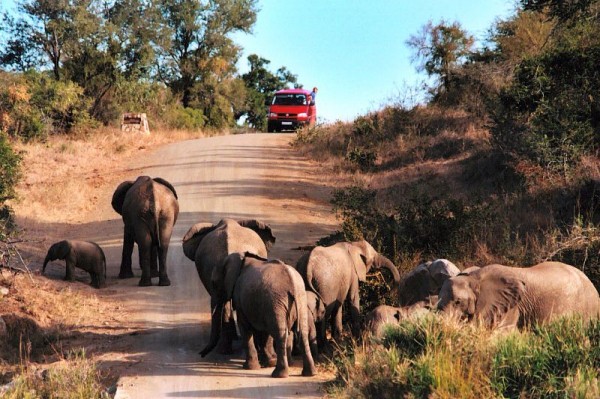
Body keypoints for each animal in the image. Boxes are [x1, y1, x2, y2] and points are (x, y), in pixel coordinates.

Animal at [209, 252, 316, 380]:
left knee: (280, 334)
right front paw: (268, 363)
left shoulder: (241, 299)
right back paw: (310, 373)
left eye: (214, 283)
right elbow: (265, 331)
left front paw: (251, 367)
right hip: (299, 300)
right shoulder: (264, 306)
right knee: (302, 333)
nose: (201, 354)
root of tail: (292, 283)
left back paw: (279, 374)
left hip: (277, 301)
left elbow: (245, 327)